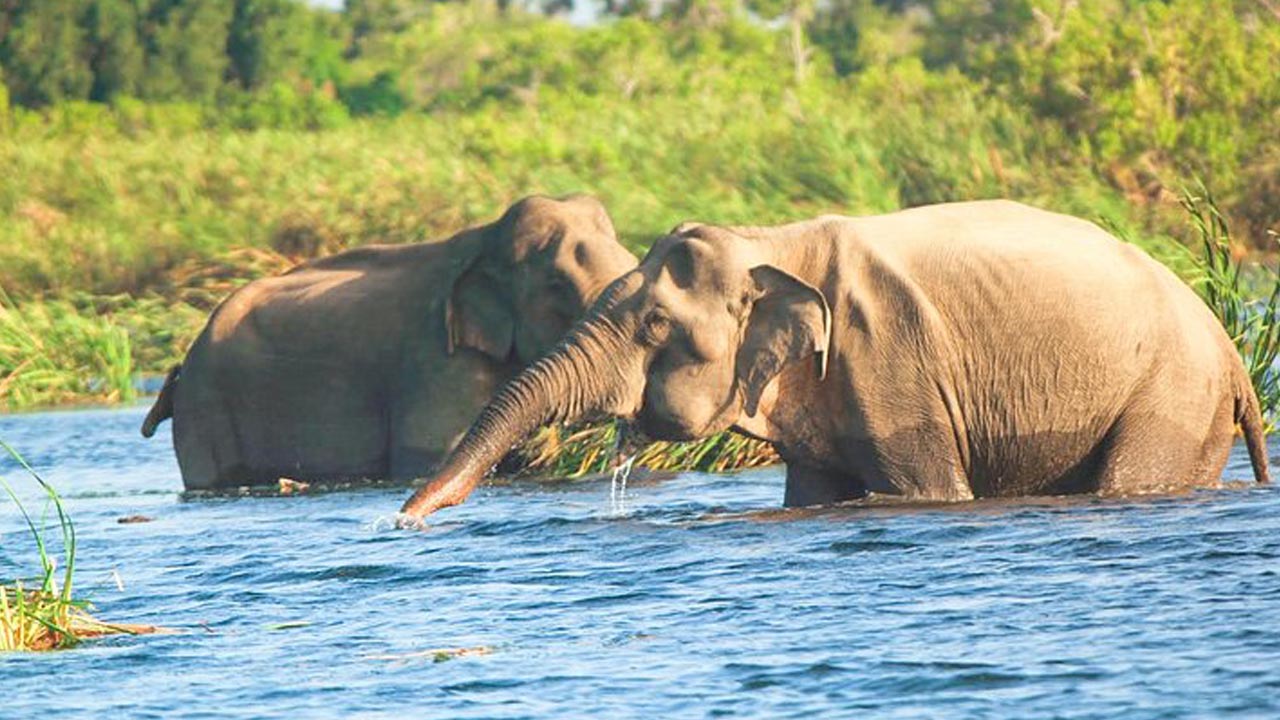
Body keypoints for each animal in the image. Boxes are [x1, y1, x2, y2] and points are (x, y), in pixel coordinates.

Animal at [399, 198, 1269, 517]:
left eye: (653, 324)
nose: (404, 518)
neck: (771, 243)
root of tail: (1235, 358)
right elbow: (814, 492)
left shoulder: (893, 359)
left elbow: (929, 490)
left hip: (1171, 396)